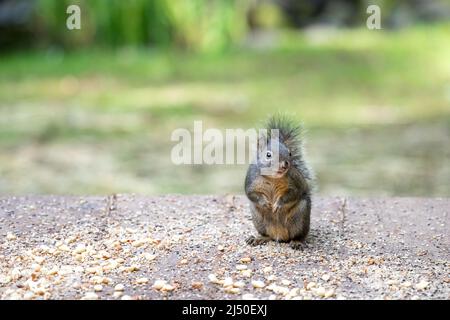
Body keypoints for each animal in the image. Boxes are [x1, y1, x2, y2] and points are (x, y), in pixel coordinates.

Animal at [244, 115, 314, 250]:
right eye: (268, 155)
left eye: (290, 153)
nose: (285, 164)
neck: (273, 178)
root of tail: (279, 236)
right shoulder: (251, 180)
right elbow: (251, 194)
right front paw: (265, 203)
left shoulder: (294, 182)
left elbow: (292, 194)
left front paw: (278, 204)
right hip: (258, 219)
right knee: (267, 235)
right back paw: (259, 238)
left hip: (300, 217)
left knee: (299, 235)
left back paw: (297, 242)